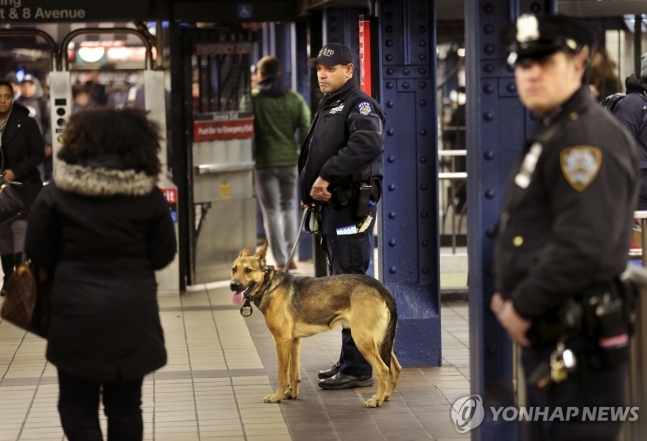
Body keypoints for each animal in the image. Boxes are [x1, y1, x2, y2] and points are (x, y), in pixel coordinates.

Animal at [228, 242, 400, 408]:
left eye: (248, 270)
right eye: (234, 269)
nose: (233, 285)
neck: (268, 285)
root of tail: (380, 287)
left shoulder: (282, 341)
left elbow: (282, 374)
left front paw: (277, 397)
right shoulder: (294, 341)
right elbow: (294, 372)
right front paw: (291, 394)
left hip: (363, 340)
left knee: (383, 370)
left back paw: (376, 400)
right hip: (379, 341)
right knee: (396, 368)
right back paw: (386, 396)